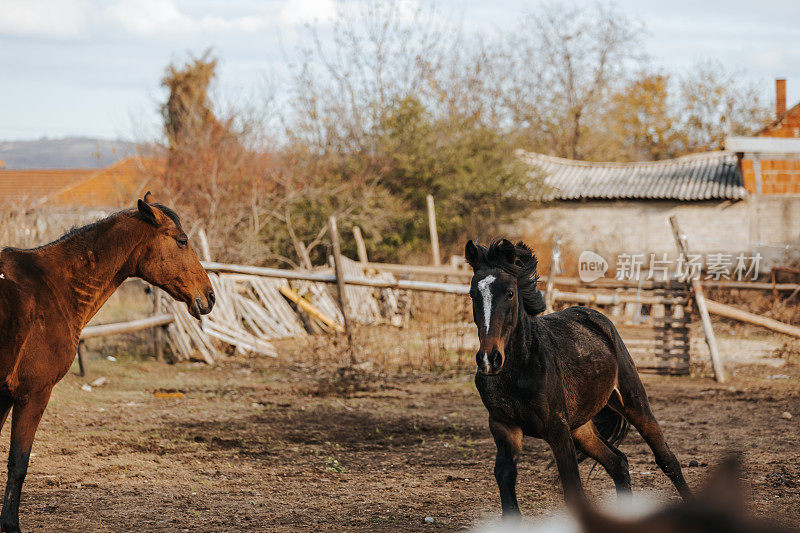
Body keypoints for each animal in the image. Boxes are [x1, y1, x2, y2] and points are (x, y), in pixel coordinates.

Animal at [0, 195, 214, 532]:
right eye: (182, 241)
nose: (209, 296)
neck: (50, 286)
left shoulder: (4, 397)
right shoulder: (33, 394)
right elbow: (18, 464)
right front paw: (10, 525)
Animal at [466, 240, 692, 520]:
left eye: (510, 293)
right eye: (473, 294)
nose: (489, 359)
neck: (518, 369)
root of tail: (595, 315)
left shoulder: (557, 428)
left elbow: (573, 489)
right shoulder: (503, 426)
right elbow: (506, 487)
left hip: (633, 401)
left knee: (667, 460)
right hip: (581, 428)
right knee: (618, 463)